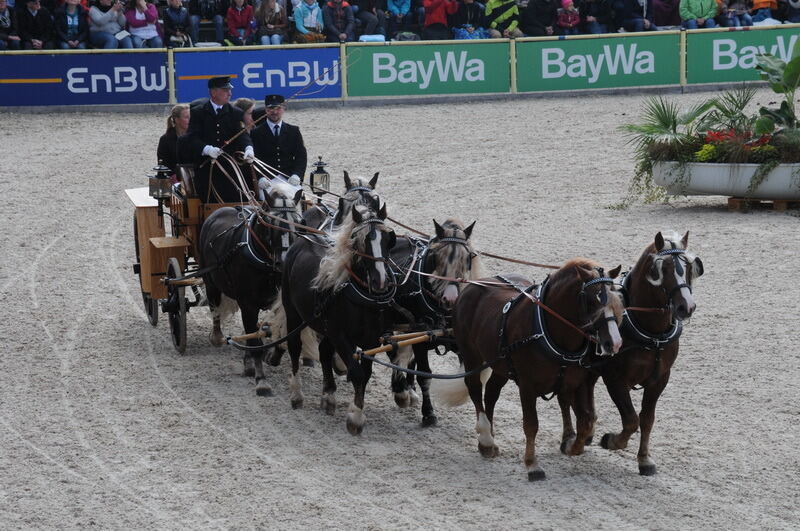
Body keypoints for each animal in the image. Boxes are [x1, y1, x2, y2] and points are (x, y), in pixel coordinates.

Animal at [198, 183, 302, 394]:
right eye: (271, 223)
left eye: (298, 222)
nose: (284, 262)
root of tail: (218, 212)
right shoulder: (248, 305)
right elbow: (255, 342)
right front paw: (261, 380)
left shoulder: (278, 303)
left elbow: (271, 332)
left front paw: (267, 359)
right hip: (211, 281)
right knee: (214, 307)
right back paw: (217, 337)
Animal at [280, 202, 398, 434]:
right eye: (361, 241)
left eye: (389, 239)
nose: (380, 281)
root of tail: (304, 238)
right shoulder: (341, 336)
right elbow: (357, 373)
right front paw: (355, 418)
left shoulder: (371, 341)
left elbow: (365, 373)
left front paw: (355, 410)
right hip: (293, 313)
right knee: (294, 347)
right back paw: (297, 394)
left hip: (325, 326)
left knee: (324, 352)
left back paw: (328, 396)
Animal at [444, 262, 624, 482]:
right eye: (593, 299)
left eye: (616, 296)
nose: (614, 342)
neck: (550, 332)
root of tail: (472, 285)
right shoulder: (527, 386)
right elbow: (531, 425)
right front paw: (532, 464)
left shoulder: (577, 383)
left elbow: (586, 421)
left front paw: (572, 446)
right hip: (471, 354)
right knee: (475, 390)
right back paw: (486, 438)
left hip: (501, 365)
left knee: (491, 394)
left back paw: (489, 440)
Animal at [560, 231, 704, 476]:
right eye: (663, 269)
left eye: (686, 268)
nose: (686, 307)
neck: (652, 333)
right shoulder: (615, 378)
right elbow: (630, 420)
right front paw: (612, 441)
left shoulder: (659, 379)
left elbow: (646, 419)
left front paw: (644, 459)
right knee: (565, 396)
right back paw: (569, 437)